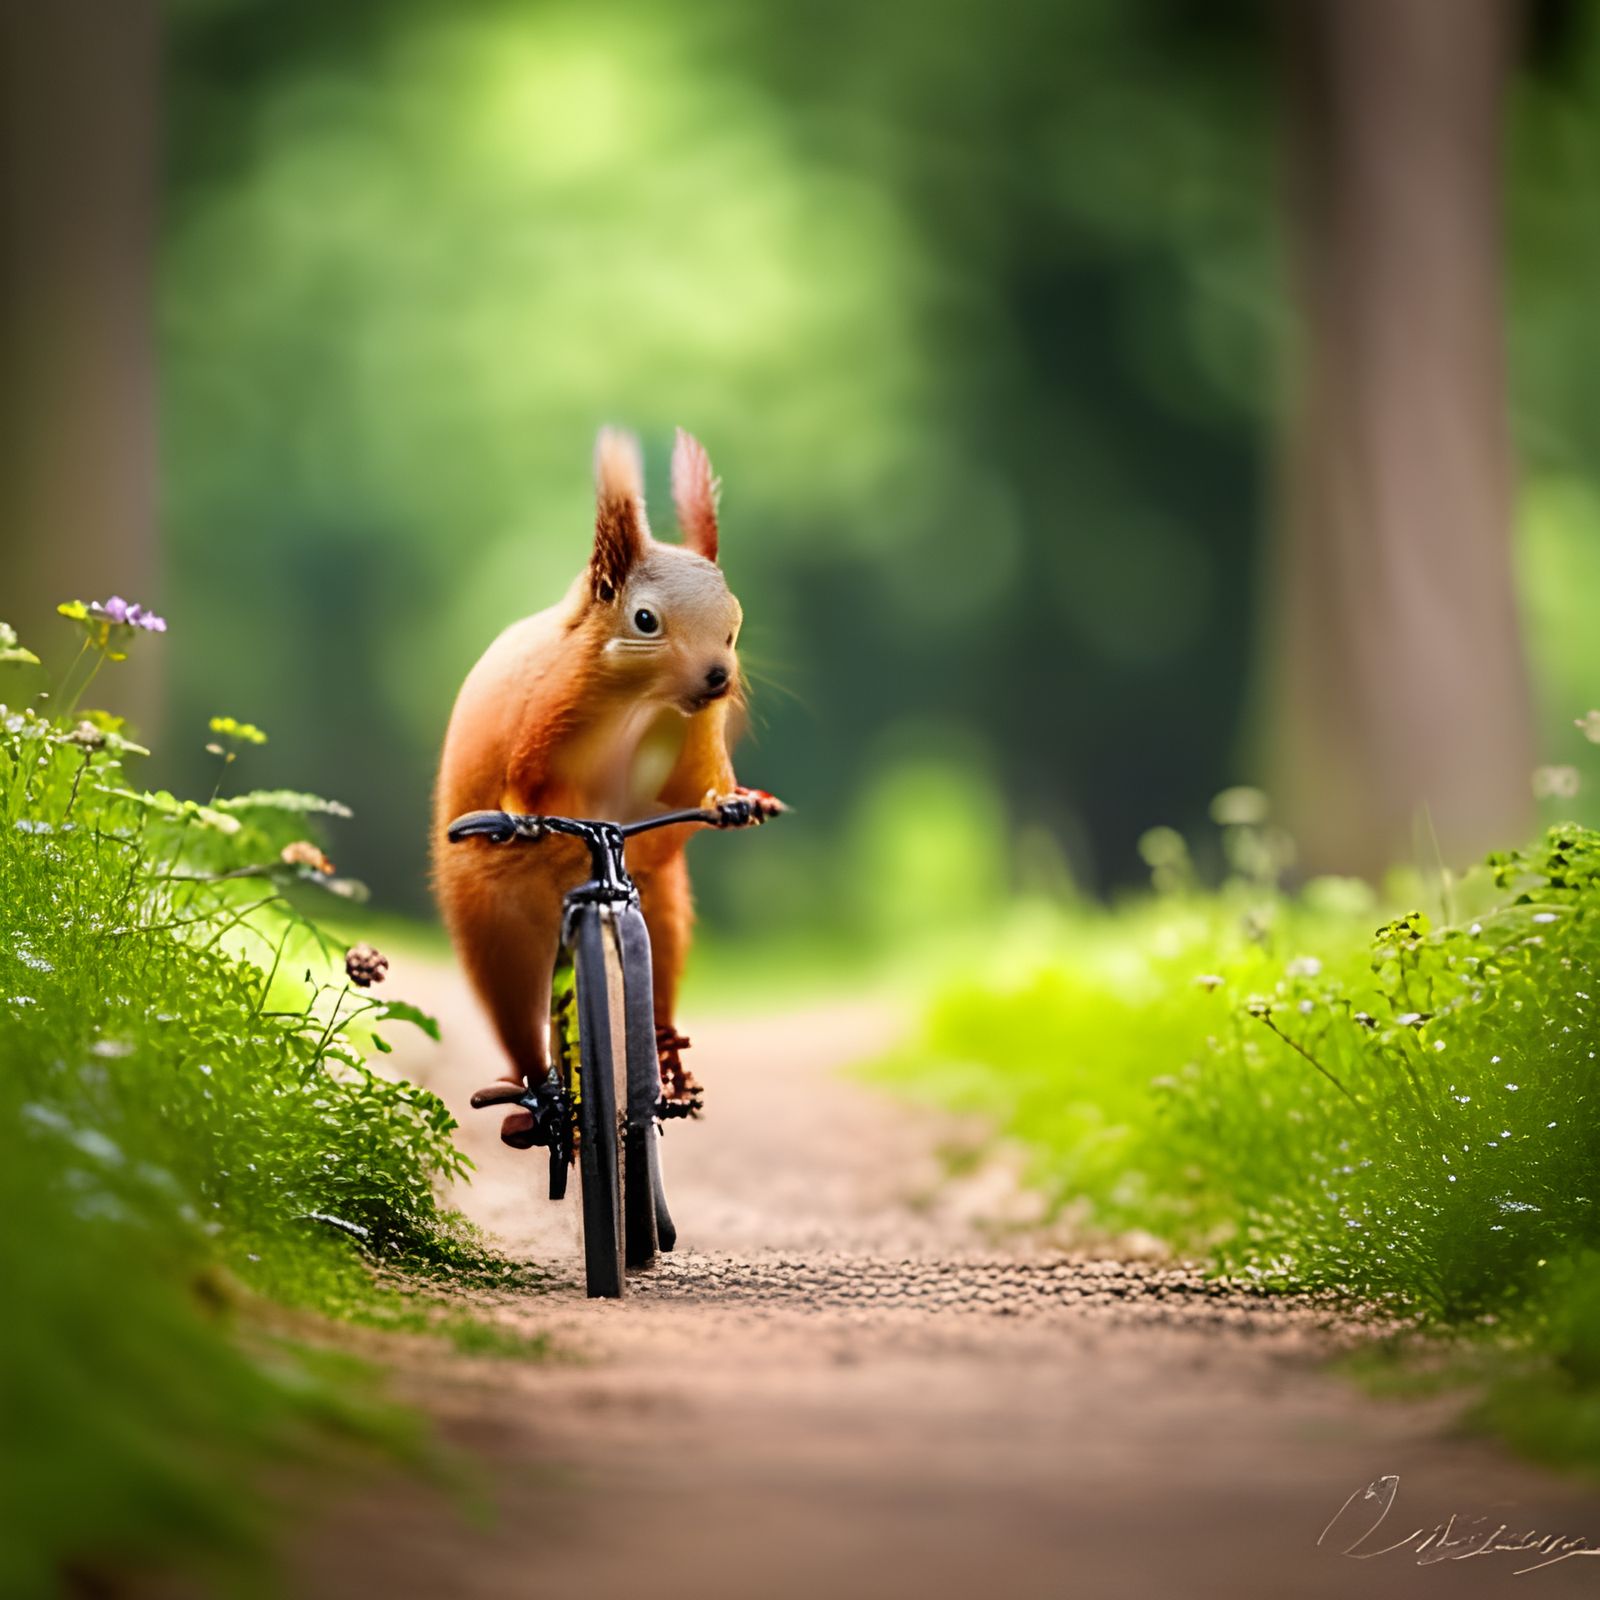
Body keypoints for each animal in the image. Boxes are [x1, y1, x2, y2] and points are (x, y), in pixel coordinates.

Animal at [433, 427, 781, 1145]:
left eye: (735, 625)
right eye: (645, 620)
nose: (718, 678)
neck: (640, 703)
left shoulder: (694, 736)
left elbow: (700, 783)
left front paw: (733, 801)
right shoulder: (549, 711)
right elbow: (524, 777)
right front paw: (518, 817)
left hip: (664, 907)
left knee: (660, 990)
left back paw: (671, 1063)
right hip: (493, 930)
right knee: (519, 1023)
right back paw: (535, 1099)